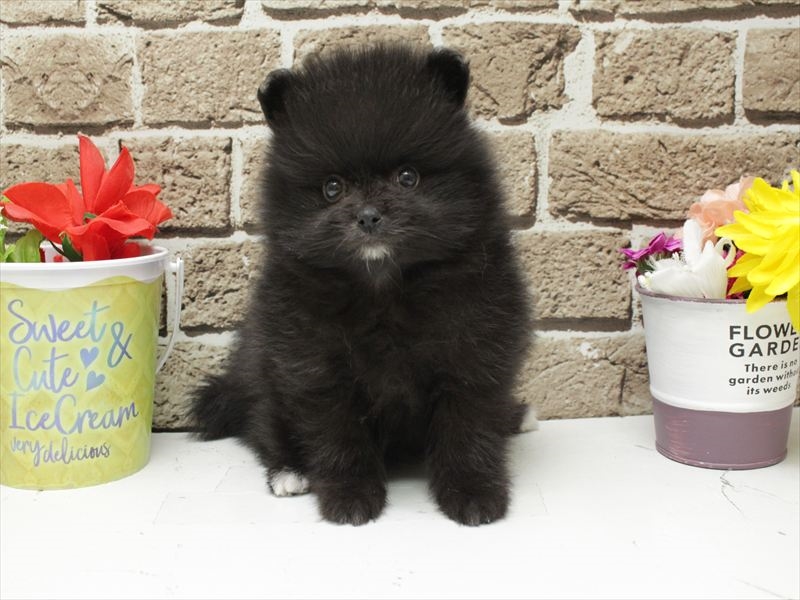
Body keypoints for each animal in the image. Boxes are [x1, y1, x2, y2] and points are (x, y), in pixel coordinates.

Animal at [192, 44, 533, 526]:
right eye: (333, 188)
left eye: (407, 177)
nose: (369, 216)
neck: (383, 288)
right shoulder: (313, 365)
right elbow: (339, 436)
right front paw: (350, 496)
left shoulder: (475, 354)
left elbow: (469, 429)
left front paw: (473, 493)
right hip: (263, 374)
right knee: (264, 424)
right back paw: (289, 473)